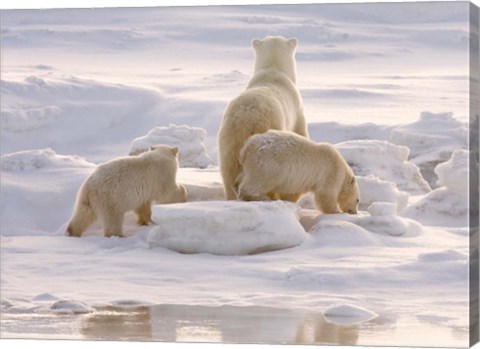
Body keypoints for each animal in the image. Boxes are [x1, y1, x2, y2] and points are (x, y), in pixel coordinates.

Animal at [218, 35, 308, 200]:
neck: (273, 70)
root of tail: (248, 118)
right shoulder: (297, 111)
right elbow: (300, 133)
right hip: (269, 132)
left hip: (229, 138)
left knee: (229, 171)